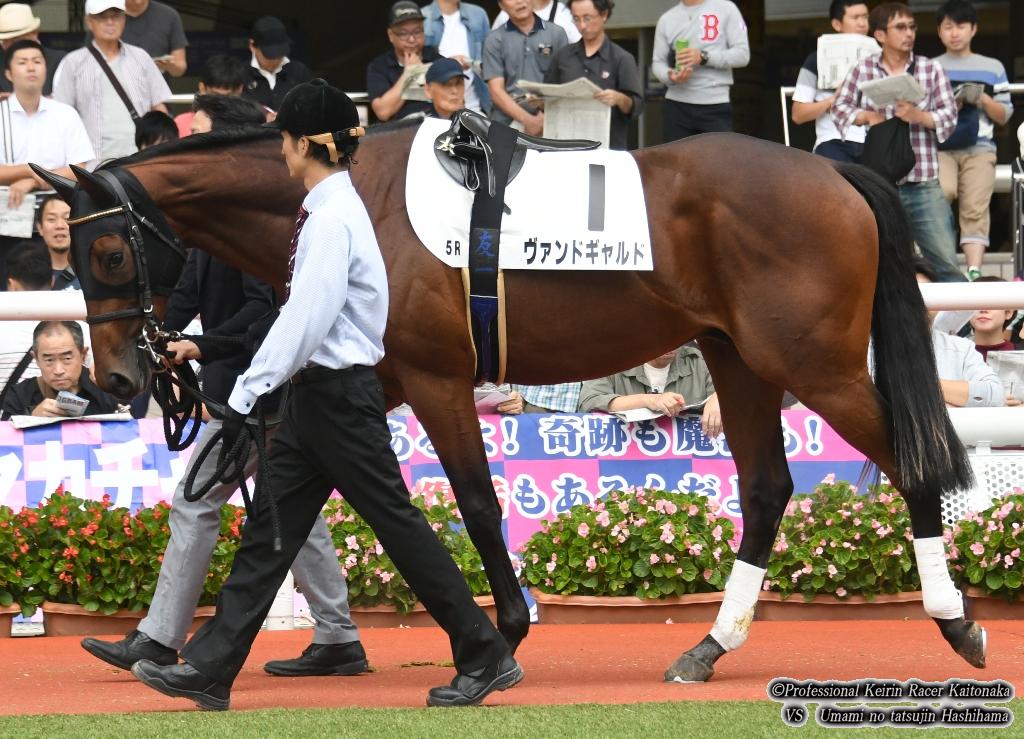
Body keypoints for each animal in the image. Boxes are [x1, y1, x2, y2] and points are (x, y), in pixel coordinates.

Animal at [32, 121, 986, 681]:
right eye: (68, 255)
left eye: (109, 254)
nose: (120, 380)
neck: (354, 194)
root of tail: (835, 174)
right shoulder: (375, 373)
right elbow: (307, 492)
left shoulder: (437, 374)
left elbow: (476, 502)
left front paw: (505, 634)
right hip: (740, 356)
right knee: (766, 488)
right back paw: (711, 645)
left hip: (814, 363)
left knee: (911, 462)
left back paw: (956, 623)